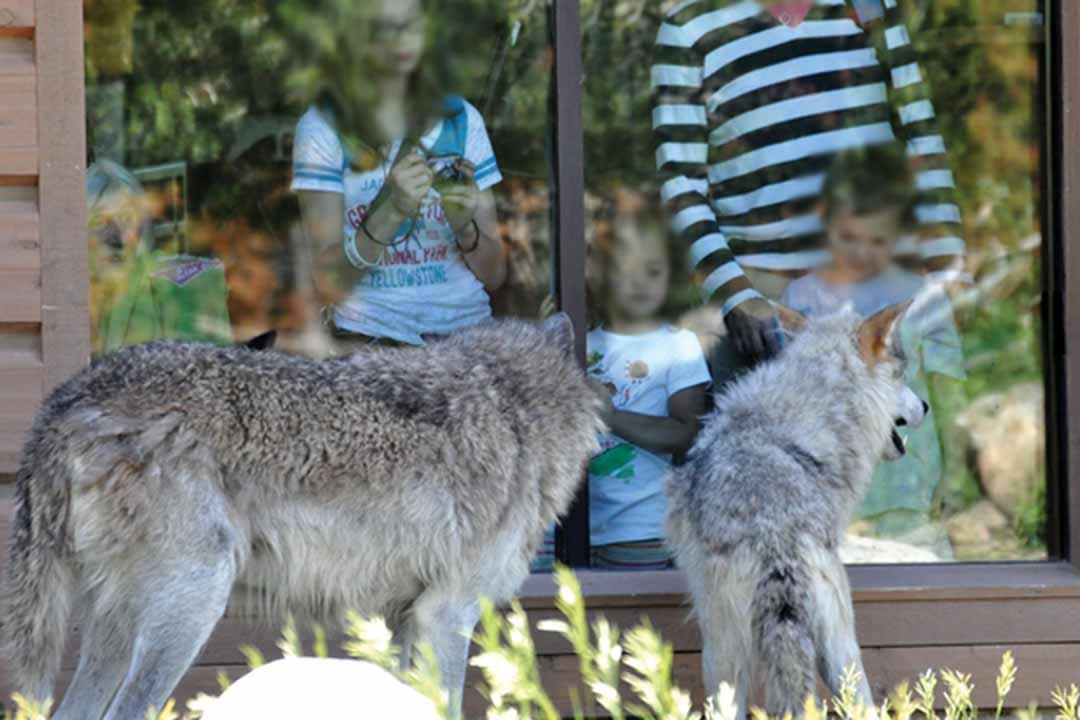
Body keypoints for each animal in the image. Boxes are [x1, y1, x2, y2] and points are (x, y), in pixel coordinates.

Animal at [1, 314, 601, 720]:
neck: (514, 409)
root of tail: (70, 397)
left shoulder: (408, 620)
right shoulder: (446, 615)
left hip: (119, 628)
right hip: (192, 606)